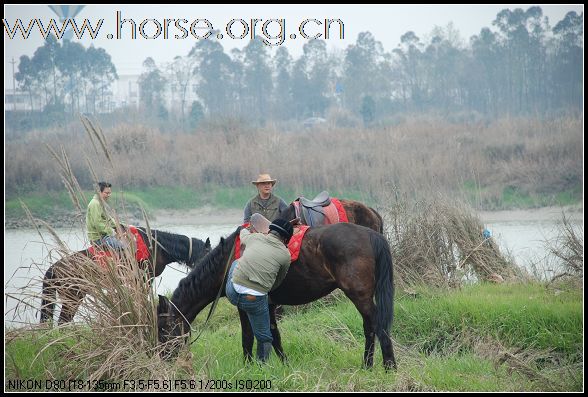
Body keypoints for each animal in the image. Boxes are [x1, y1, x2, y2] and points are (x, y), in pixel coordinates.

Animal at [39, 226, 210, 324]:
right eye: (207, 253)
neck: (157, 246)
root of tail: (54, 269)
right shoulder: (145, 278)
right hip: (73, 297)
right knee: (63, 322)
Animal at [157, 223, 396, 368]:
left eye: (163, 329)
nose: (163, 357)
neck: (227, 263)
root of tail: (371, 234)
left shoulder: (244, 304)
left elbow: (248, 337)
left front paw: (248, 366)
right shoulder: (268, 304)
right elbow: (273, 335)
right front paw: (284, 364)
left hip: (360, 295)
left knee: (376, 326)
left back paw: (388, 365)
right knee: (370, 327)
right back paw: (369, 365)